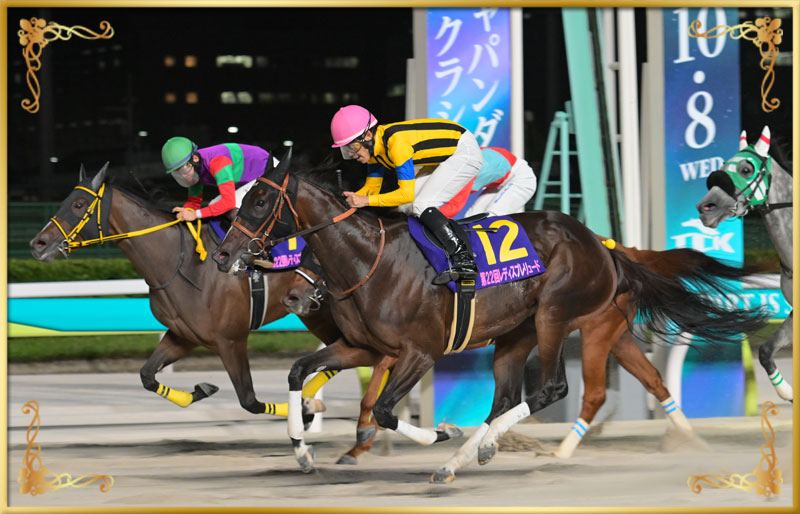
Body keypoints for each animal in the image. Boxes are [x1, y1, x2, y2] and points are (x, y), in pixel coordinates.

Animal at [213, 153, 767, 482]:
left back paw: (466, 451)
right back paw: (469, 455)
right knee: (506, 399)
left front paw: (440, 433)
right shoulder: (364, 348)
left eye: (259, 200)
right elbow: (298, 371)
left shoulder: (420, 351)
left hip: (555, 316)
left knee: (554, 389)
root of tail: (602, 245)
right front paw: (302, 449)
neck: (369, 261)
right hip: (515, 336)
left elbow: (387, 410)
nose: (223, 256)